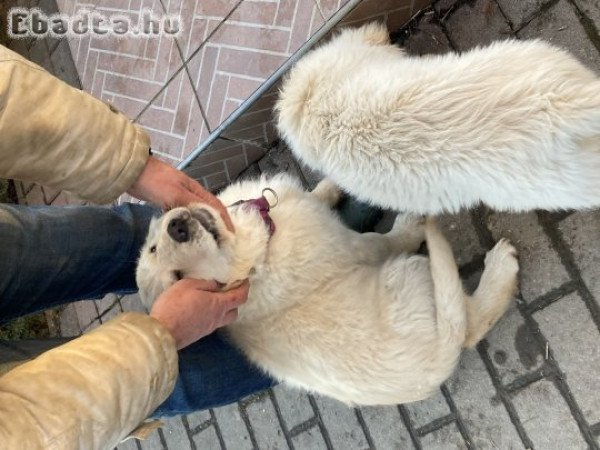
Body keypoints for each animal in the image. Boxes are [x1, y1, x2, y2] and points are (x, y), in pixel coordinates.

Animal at [138, 175, 516, 404]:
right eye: (180, 278)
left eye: (153, 248)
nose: (177, 228)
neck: (254, 258)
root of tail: (440, 363)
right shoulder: (358, 246)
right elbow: (386, 240)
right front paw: (407, 228)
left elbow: (312, 194)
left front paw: (332, 184)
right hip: (414, 275)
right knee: (470, 325)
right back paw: (501, 266)